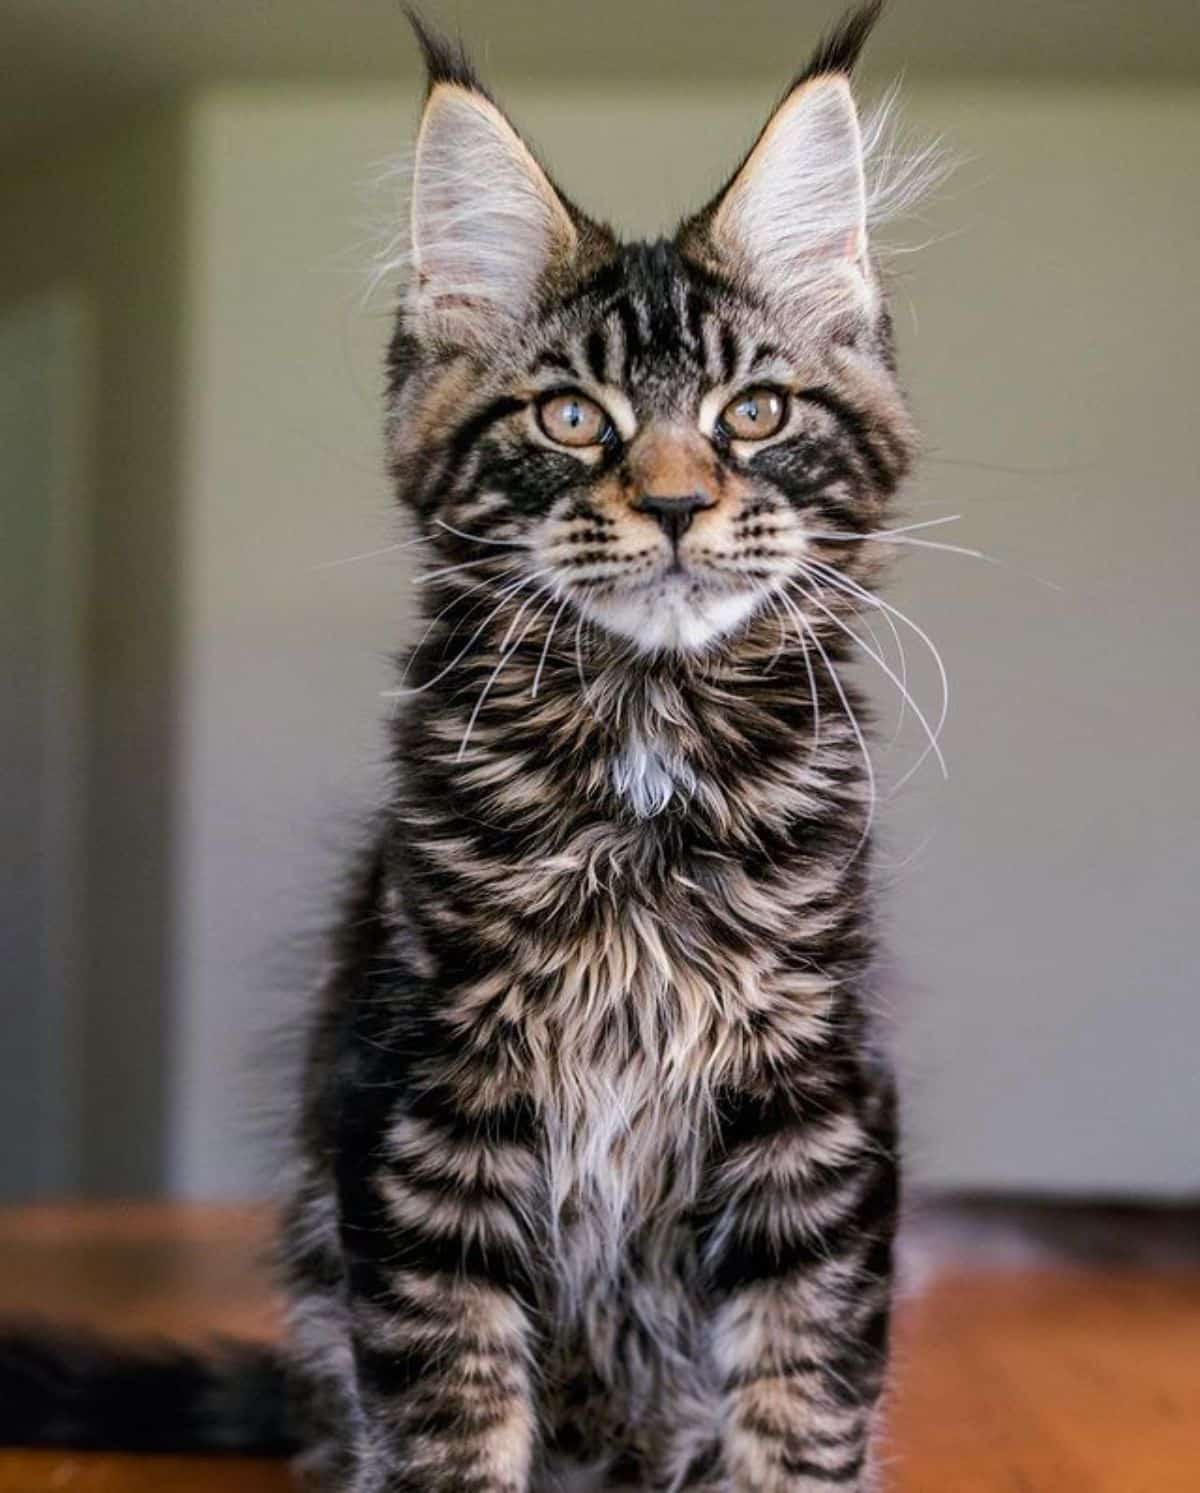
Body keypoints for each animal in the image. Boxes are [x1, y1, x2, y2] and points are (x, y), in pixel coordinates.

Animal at [0, 2, 937, 1493]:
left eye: (752, 415)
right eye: (572, 418)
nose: (677, 503)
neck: (647, 742)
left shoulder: (818, 1096)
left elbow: (803, 1400)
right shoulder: (427, 1097)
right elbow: (449, 1399)